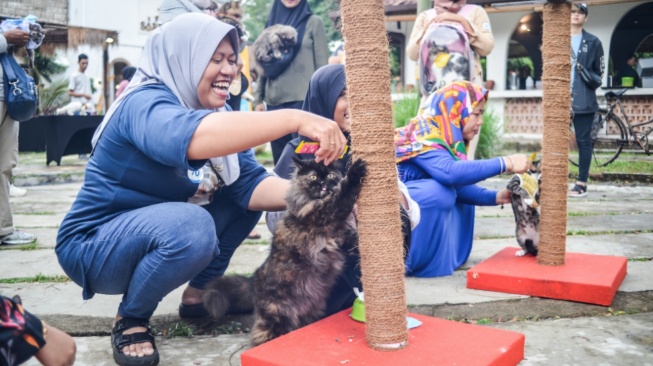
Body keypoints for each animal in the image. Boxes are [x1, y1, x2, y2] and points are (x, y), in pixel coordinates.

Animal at [204, 157, 366, 346]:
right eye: (313, 177)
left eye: (331, 175)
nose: (323, 183)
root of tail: (253, 282)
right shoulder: (324, 212)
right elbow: (343, 194)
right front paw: (356, 170)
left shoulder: (345, 237)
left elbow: (355, 238)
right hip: (278, 317)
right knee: (262, 336)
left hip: (309, 313)